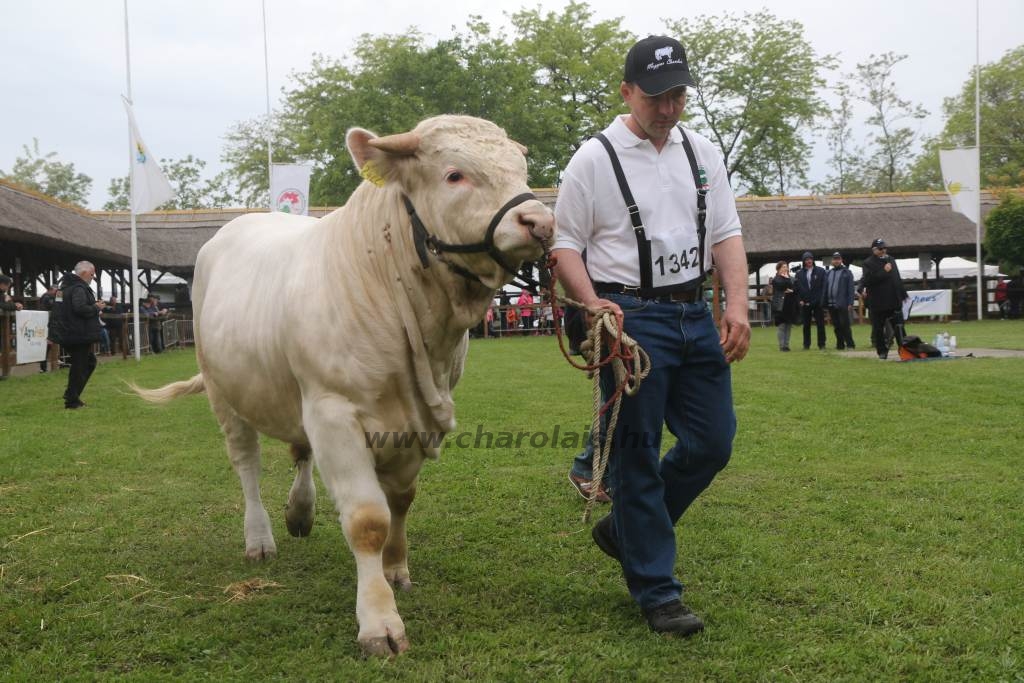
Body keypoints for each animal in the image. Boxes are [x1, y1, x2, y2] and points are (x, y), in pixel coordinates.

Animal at [137, 116, 557, 655]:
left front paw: (395, 569)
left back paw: (300, 512)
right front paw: (379, 620)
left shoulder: (413, 420)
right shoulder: (333, 411)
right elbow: (367, 519)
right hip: (224, 392)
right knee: (247, 464)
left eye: (520, 169)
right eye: (455, 175)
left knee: (299, 453)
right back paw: (260, 538)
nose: (540, 221)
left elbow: (400, 501)